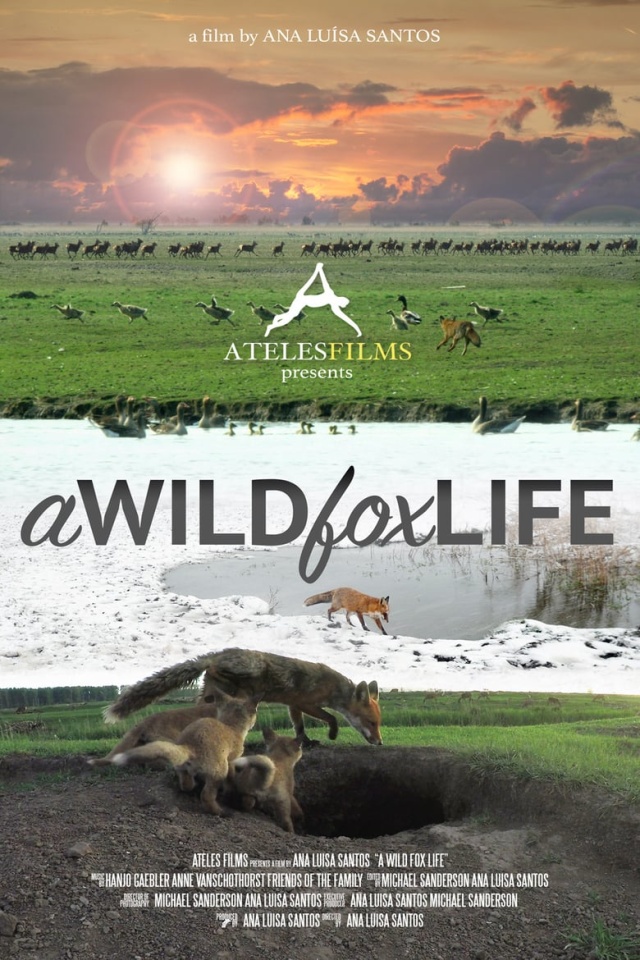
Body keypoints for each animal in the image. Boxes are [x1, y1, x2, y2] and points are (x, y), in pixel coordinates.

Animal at [104, 647, 382, 746]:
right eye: (371, 722)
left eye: (378, 723)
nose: (379, 742)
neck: (333, 687)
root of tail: (215, 656)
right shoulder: (306, 702)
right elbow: (332, 718)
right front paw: (333, 733)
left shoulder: (294, 704)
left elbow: (299, 726)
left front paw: (306, 741)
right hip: (246, 677)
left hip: (212, 696)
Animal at [110, 690, 260, 816]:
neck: (230, 726)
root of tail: (190, 747)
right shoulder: (231, 759)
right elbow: (231, 775)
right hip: (217, 771)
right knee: (206, 796)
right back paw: (220, 812)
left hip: (179, 764)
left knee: (184, 784)